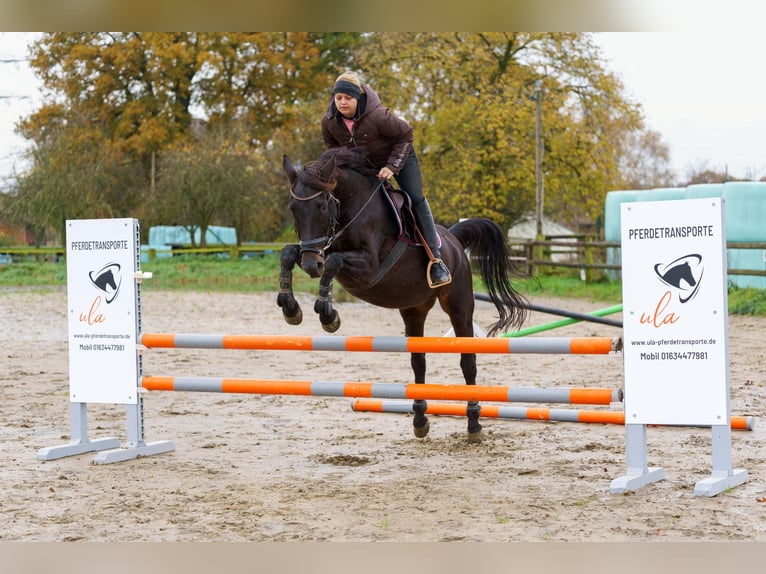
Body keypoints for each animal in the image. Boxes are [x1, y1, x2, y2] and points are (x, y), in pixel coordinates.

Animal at [280, 147, 532, 440]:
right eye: (292, 208)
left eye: (321, 206)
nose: (311, 265)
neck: (352, 208)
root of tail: (454, 242)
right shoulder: (321, 250)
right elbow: (289, 253)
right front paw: (290, 308)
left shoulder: (367, 268)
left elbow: (332, 263)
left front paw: (327, 315)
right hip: (414, 310)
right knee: (418, 362)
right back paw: (420, 420)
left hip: (459, 307)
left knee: (467, 361)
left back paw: (473, 424)